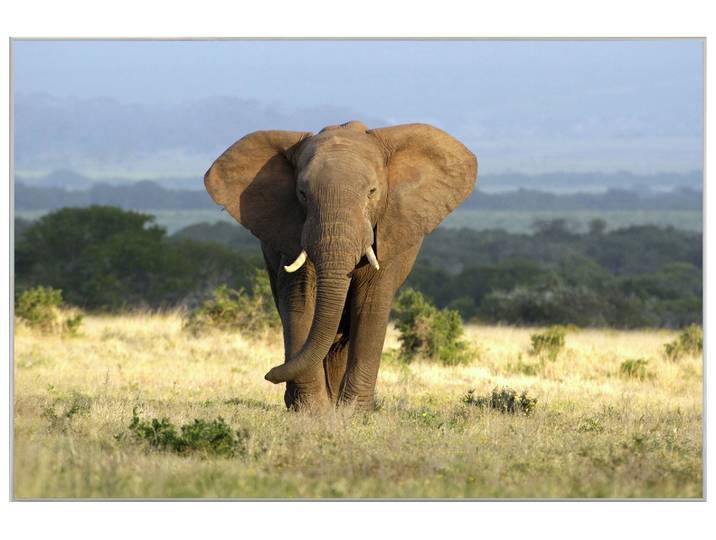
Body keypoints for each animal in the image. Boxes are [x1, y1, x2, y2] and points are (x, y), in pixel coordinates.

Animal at [204, 120, 477, 411]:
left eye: (372, 192)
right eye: (302, 193)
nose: (270, 373)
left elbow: (370, 305)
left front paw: (353, 412)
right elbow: (300, 300)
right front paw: (312, 410)